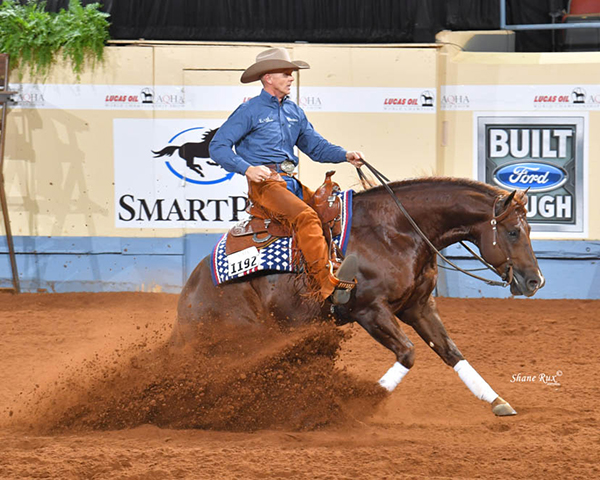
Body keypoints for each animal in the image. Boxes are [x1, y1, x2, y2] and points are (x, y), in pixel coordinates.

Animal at [173, 178, 544, 414]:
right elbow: (408, 353)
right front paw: (362, 401)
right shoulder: (370, 311)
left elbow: (451, 352)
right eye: (513, 231)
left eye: (529, 229)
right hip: (241, 337)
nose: (535, 281)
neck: (396, 231)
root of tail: (192, 290)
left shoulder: (419, 306)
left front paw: (496, 401)